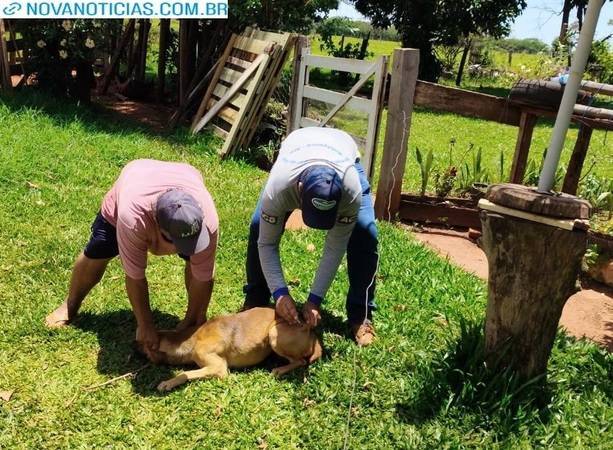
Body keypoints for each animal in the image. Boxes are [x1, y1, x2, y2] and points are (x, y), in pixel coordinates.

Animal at [141, 307, 323, 392]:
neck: (192, 337)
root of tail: (309, 329)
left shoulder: (219, 368)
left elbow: (184, 374)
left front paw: (168, 383)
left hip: (273, 334)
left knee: (301, 361)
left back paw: (279, 369)